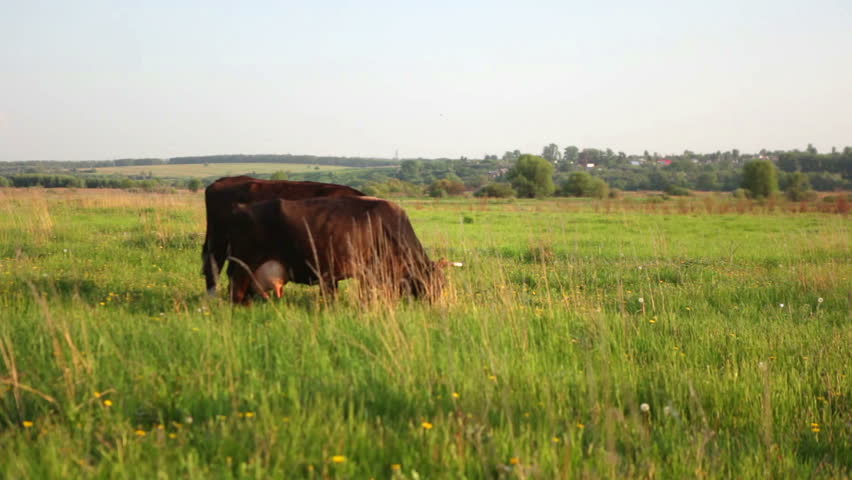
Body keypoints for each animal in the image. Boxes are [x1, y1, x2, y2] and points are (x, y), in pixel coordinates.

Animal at [224, 196, 446, 305]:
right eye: (435, 282)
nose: (436, 304)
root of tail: (239, 208)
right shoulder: (367, 273)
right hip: (243, 266)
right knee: (236, 294)